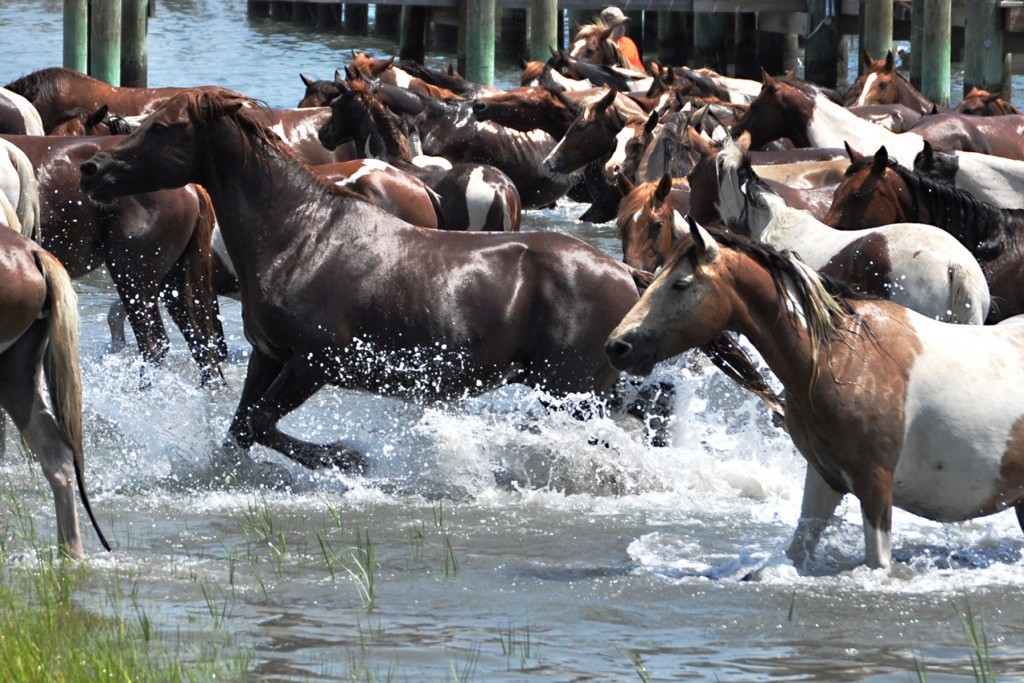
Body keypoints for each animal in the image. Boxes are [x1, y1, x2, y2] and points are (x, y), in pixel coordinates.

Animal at [607, 213, 1024, 570]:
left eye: (680, 284)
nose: (618, 346)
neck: (842, 358)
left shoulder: (875, 485)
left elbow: (879, 563)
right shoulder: (825, 478)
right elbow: (797, 549)